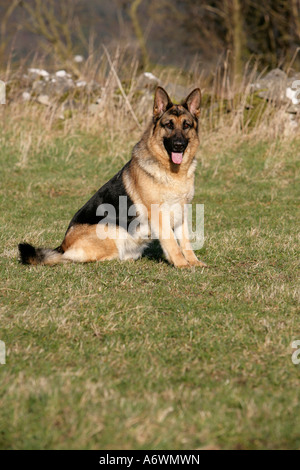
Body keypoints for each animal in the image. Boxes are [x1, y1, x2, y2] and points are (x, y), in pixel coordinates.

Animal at [18, 85, 206, 268]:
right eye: (169, 125)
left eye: (186, 125)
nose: (179, 145)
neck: (173, 171)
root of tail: (62, 247)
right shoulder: (159, 214)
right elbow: (173, 244)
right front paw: (182, 265)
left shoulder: (182, 212)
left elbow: (186, 243)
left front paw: (194, 262)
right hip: (111, 229)